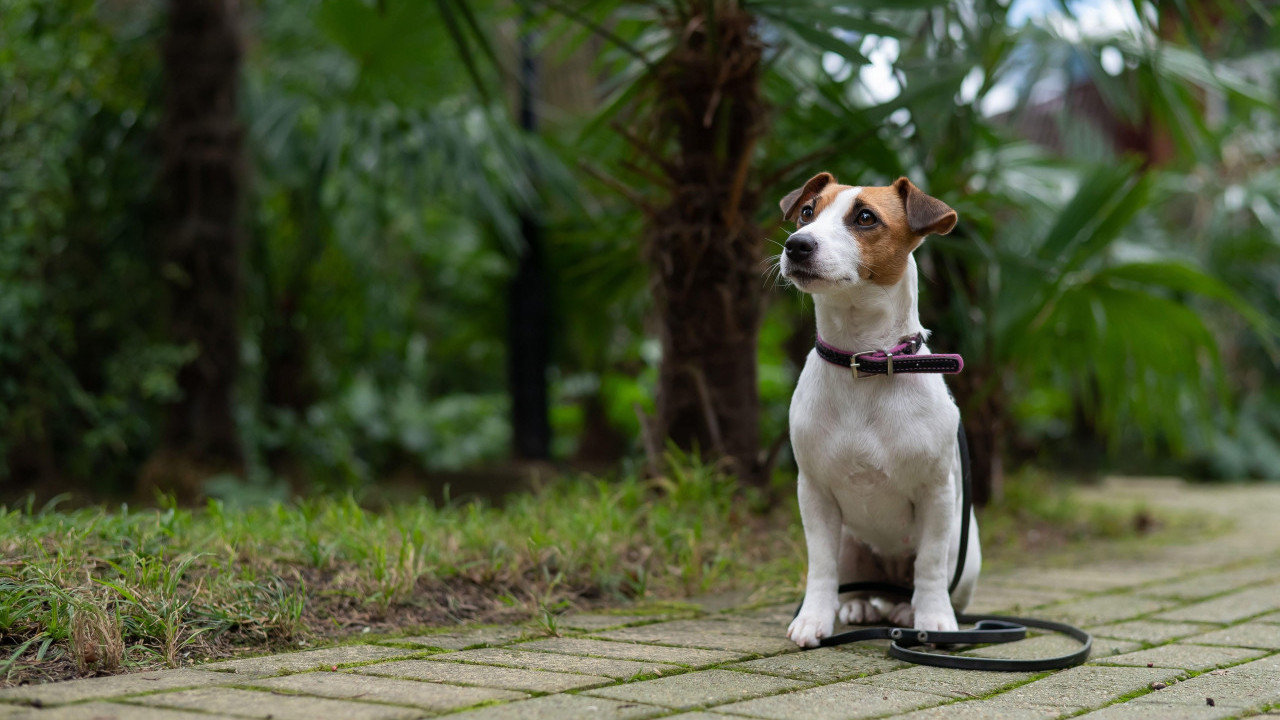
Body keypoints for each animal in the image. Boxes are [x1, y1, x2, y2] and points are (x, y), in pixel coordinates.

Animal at [778, 172, 977, 645]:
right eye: (807, 212)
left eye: (865, 218)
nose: (796, 244)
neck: (864, 360)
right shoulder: (814, 493)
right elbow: (821, 566)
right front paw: (813, 617)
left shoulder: (937, 494)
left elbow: (929, 566)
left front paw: (934, 619)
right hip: (851, 542)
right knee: (855, 583)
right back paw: (857, 606)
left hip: (967, 551)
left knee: (925, 580)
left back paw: (908, 610)